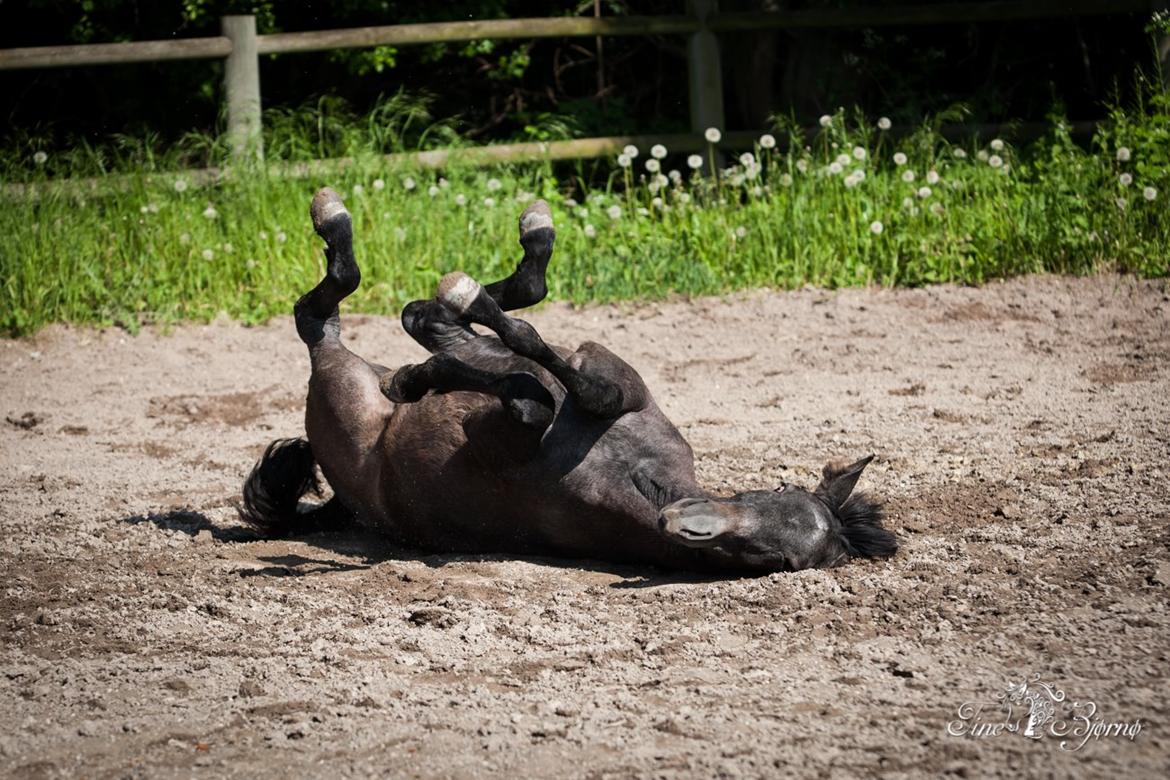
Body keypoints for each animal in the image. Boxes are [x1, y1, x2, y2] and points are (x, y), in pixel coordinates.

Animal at [235, 185, 893, 570]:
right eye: (779, 492)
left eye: (775, 557)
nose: (683, 523)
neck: (633, 475)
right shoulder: (611, 373)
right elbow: (576, 375)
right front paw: (427, 368)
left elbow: (533, 398)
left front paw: (431, 371)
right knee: (449, 311)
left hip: (339, 384)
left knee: (321, 316)